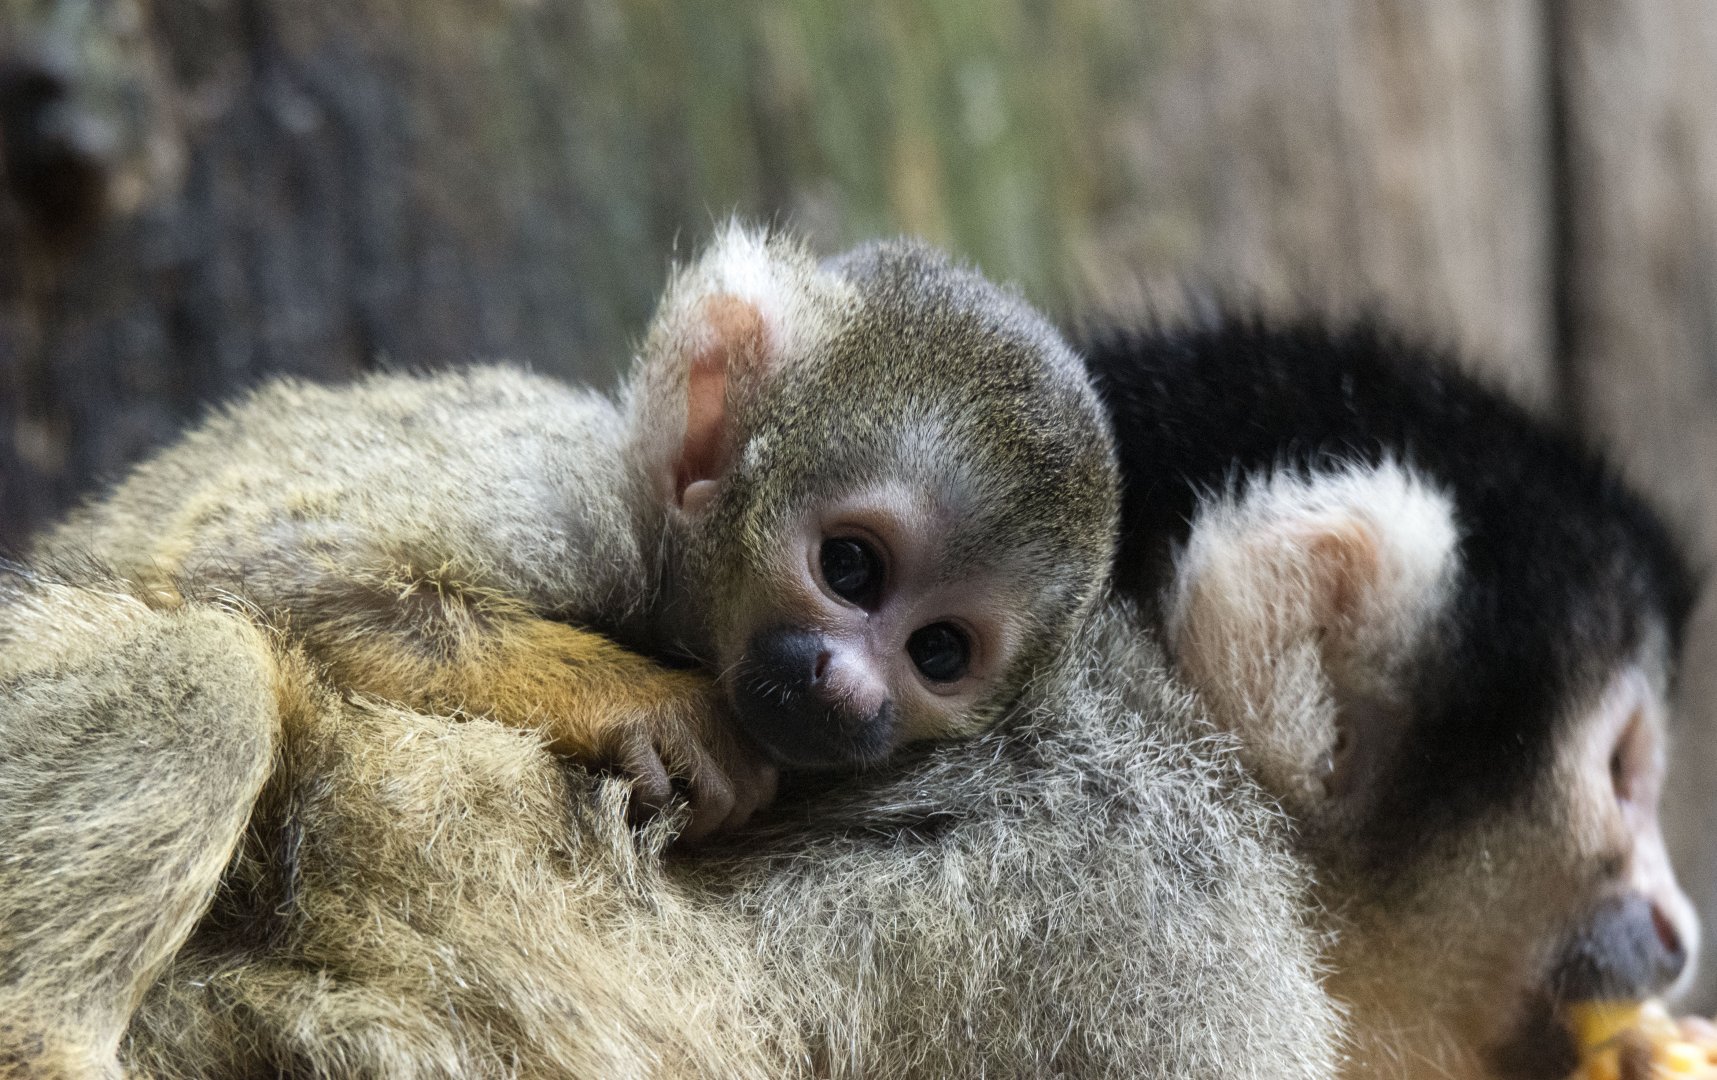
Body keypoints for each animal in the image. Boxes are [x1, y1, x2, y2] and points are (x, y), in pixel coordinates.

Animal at [29, 224, 1119, 841]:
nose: (851, 691)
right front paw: (653, 708)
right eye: (849, 567)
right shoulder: (573, 505)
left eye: (939, 653)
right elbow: (269, 570)